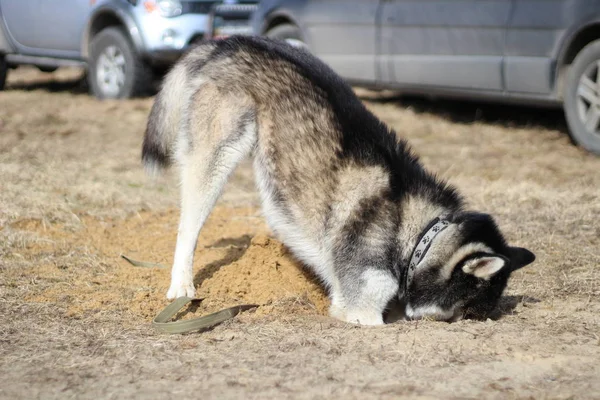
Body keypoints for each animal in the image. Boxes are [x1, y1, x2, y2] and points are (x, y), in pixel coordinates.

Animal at [143, 36, 536, 324]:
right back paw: (181, 284)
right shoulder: (359, 308)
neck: (418, 236)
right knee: (188, 227)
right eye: (469, 312)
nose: (469, 323)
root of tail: (232, 41)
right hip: (215, 159)